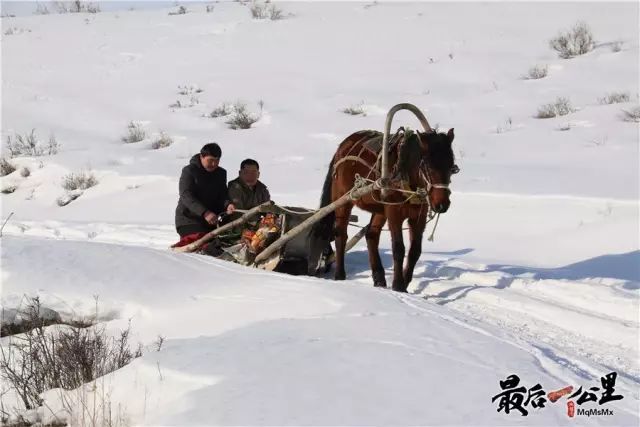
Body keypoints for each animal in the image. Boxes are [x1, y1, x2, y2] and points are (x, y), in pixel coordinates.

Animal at [314, 113, 456, 290]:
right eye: (429, 167)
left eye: (452, 167)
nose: (442, 204)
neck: (404, 172)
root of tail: (343, 146)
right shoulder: (394, 213)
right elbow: (398, 248)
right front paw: (398, 285)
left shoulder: (419, 216)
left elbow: (415, 251)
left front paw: (405, 283)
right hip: (344, 200)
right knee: (341, 234)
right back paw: (340, 275)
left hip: (380, 209)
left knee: (371, 235)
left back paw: (379, 278)